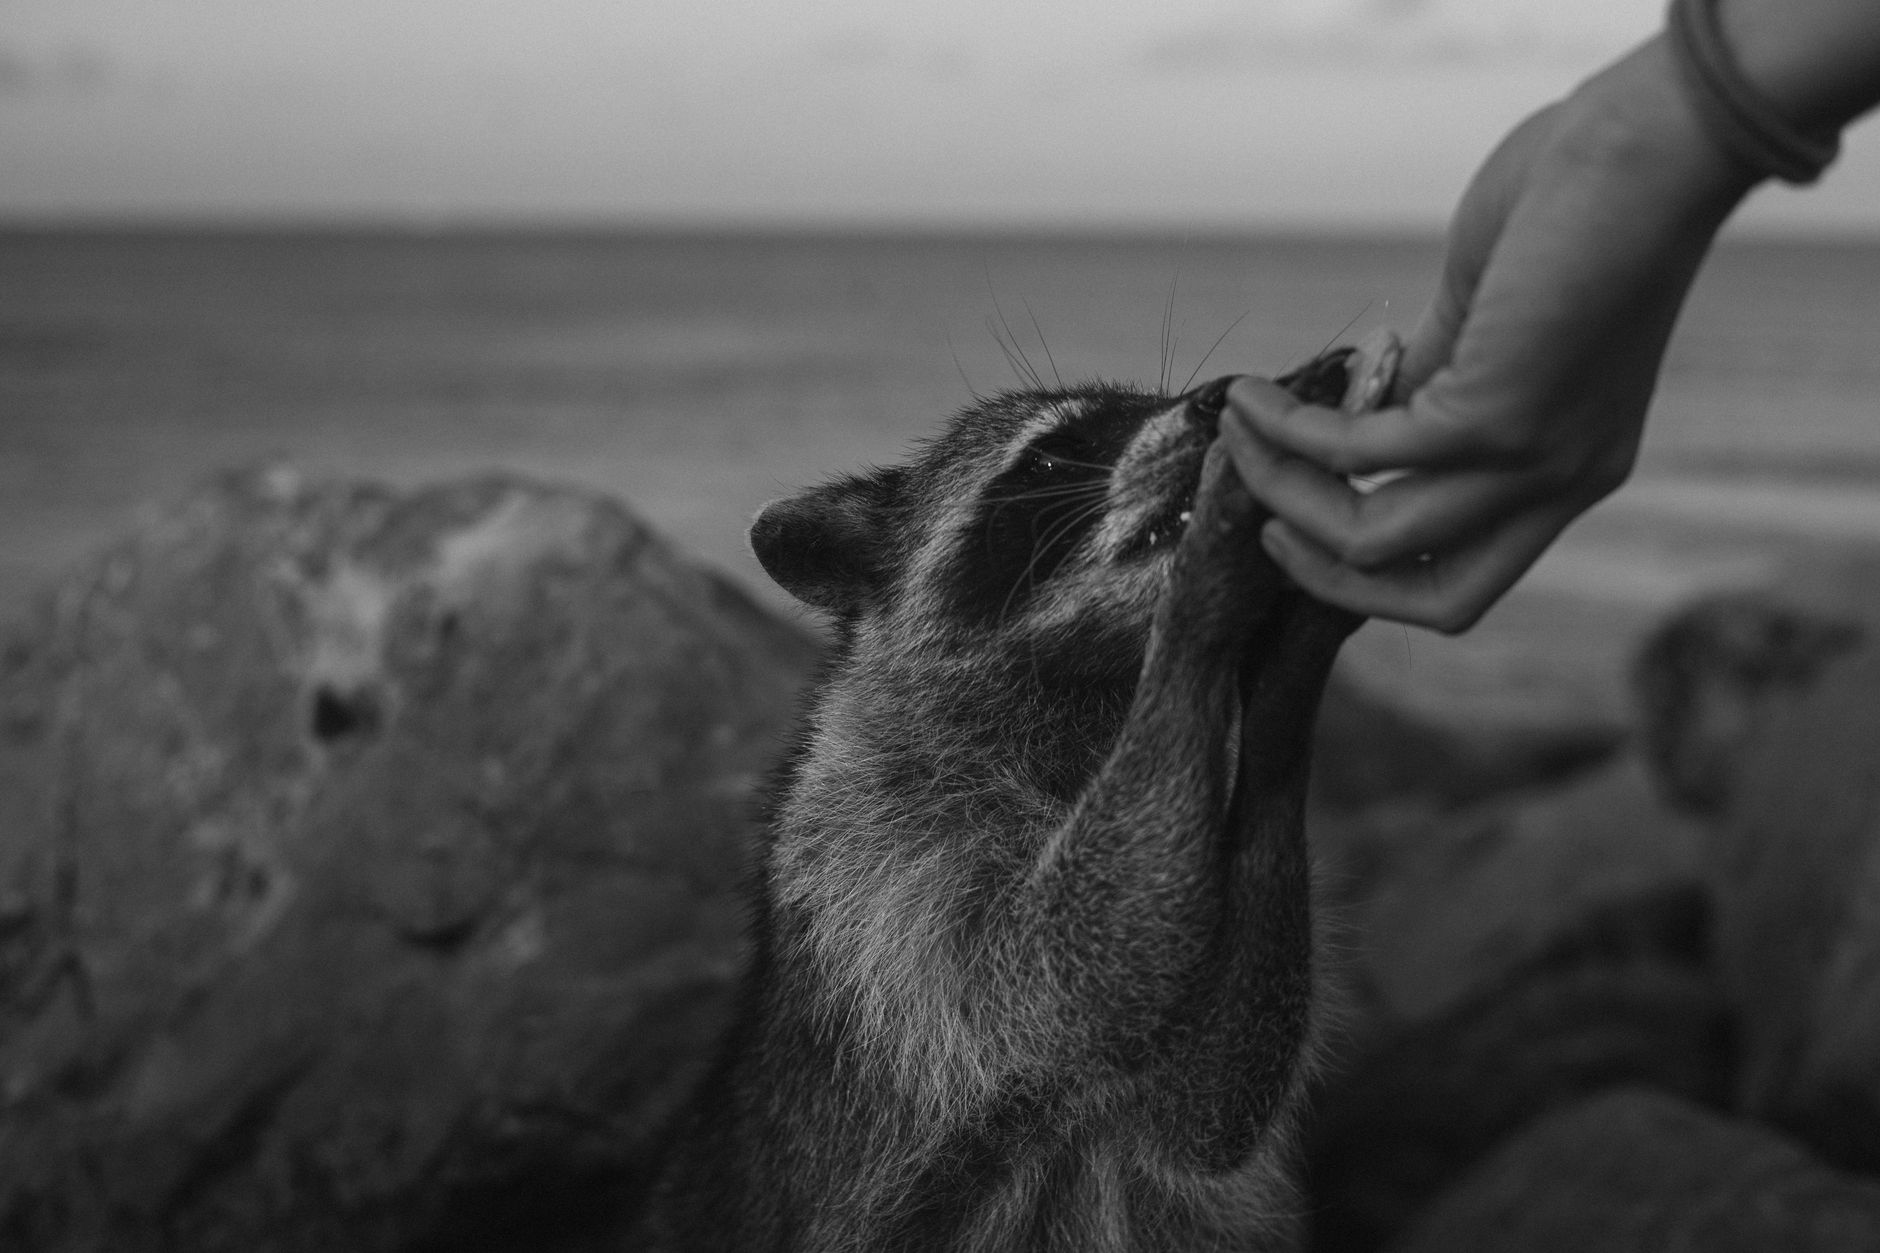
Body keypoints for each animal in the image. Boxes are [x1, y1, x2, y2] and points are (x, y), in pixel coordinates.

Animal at [633, 344, 1385, 1252]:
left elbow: (1204, 1108)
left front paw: (1284, 665)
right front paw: (1207, 579)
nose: (1219, 404)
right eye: (1053, 457)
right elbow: (1052, 979)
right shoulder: (875, 848)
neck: (1091, 685)